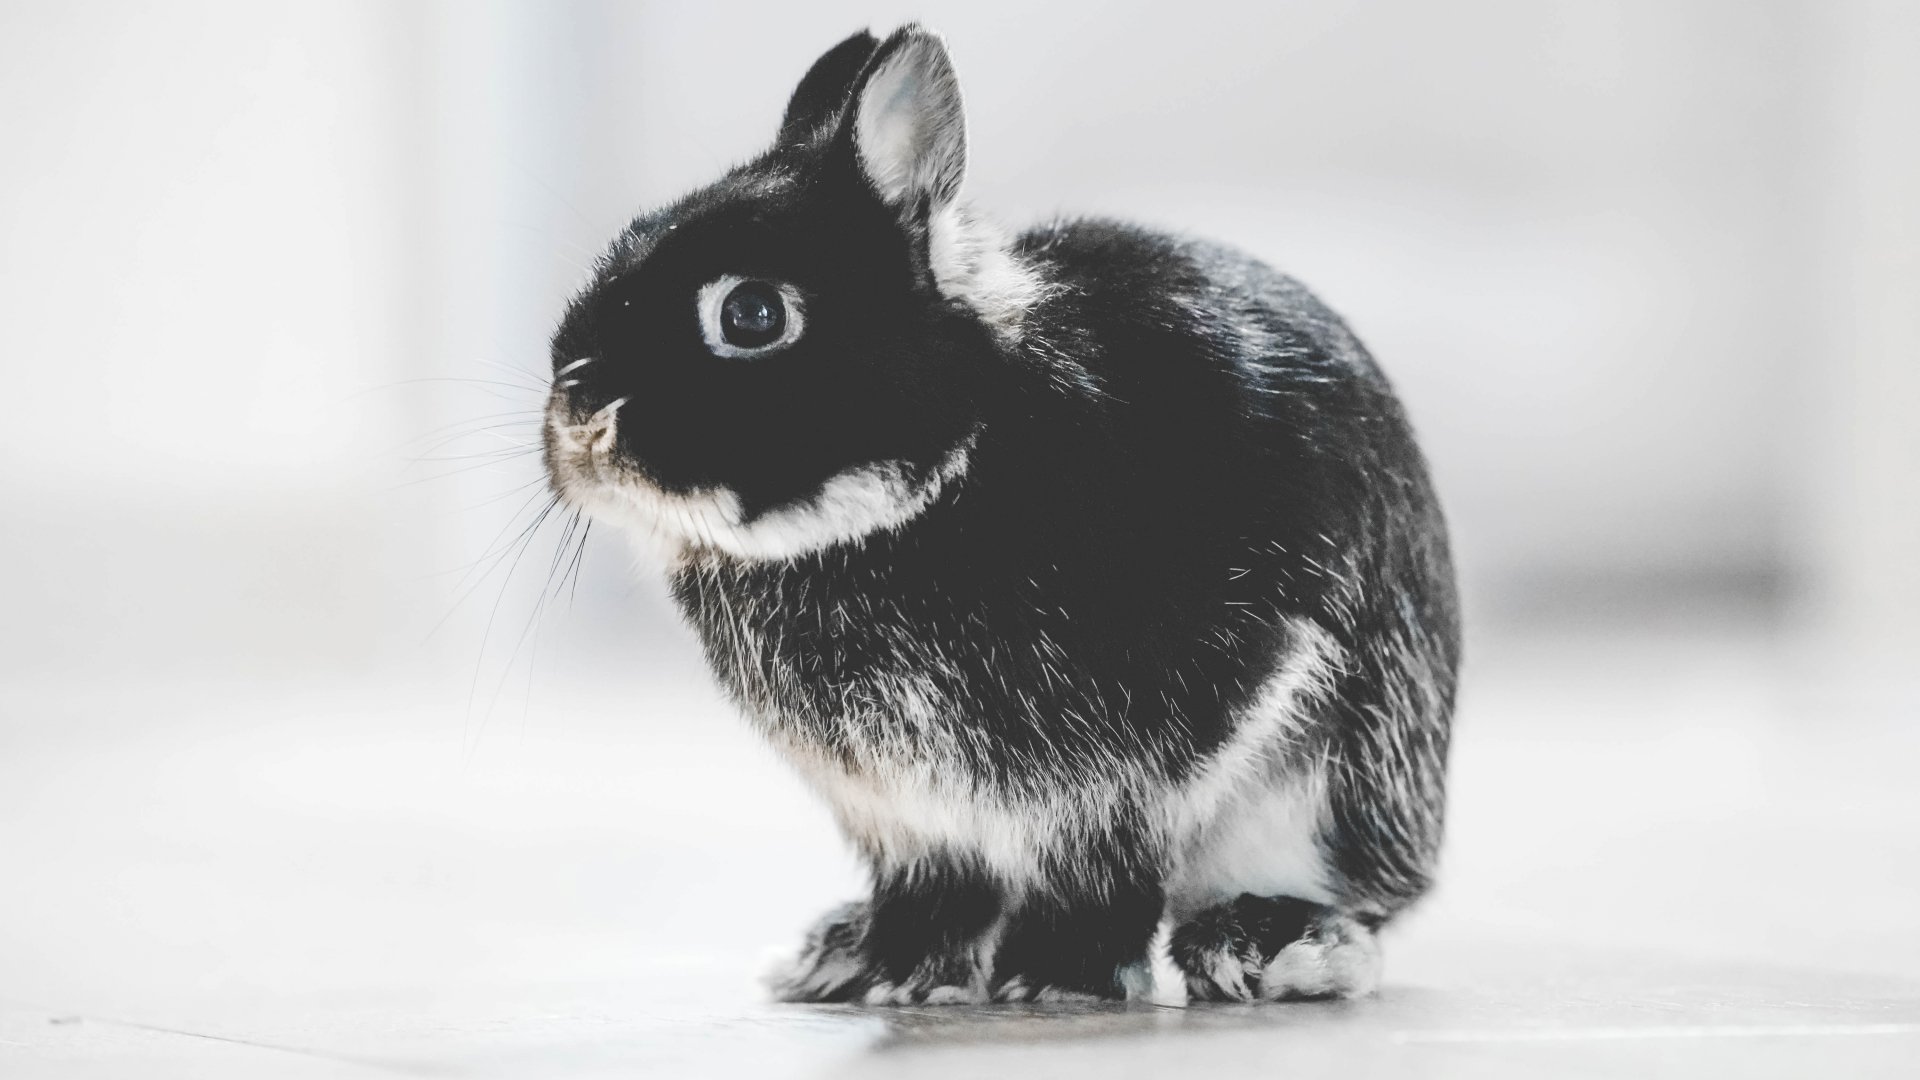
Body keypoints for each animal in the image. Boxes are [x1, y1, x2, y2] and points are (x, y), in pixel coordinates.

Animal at [542, 25, 1459, 1005]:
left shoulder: (1139, 765)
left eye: (751, 313)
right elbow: (935, 890)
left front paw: (1058, 980)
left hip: (1335, 785)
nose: (579, 414)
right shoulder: (906, 817)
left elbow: (1102, 869)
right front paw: (890, 974)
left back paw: (1265, 946)